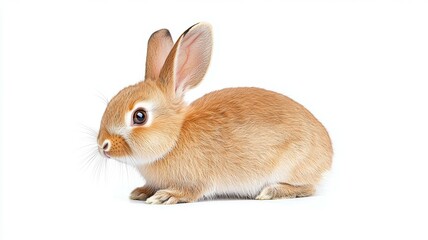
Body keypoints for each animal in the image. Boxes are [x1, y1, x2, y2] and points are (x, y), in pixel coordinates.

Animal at [98, 22, 334, 203]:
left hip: (292, 165)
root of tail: (328, 152)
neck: (175, 137)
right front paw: (141, 192)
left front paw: (166, 196)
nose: (103, 146)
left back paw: (271, 191)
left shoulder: (197, 180)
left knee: (308, 187)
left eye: (140, 116)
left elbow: (190, 191)